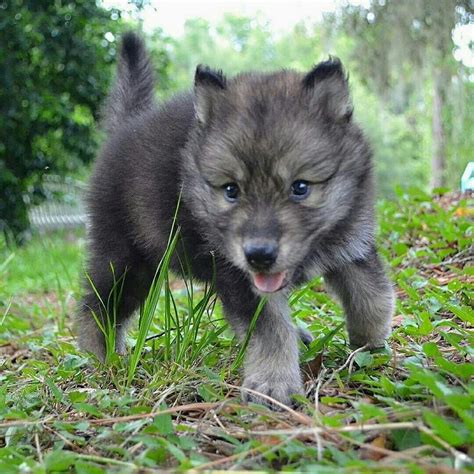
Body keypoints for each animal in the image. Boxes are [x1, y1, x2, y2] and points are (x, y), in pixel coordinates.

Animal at [79, 32, 394, 404]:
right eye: (231, 190)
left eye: (300, 187)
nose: (259, 255)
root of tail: (124, 128)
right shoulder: (239, 278)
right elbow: (271, 328)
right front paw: (273, 382)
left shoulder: (351, 244)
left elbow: (373, 298)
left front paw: (369, 347)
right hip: (127, 262)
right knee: (96, 306)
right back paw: (101, 356)